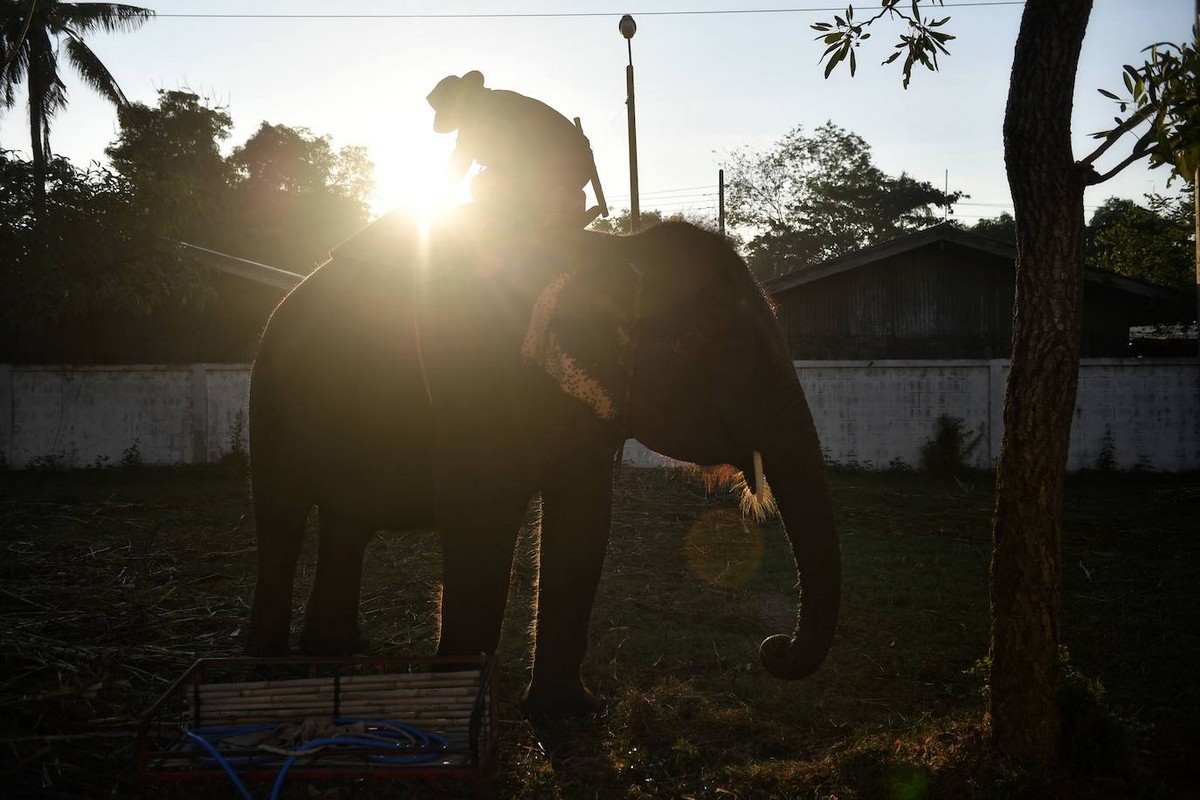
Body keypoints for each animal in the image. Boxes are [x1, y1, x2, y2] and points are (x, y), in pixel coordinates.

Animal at [246, 205, 844, 714]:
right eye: (694, 343)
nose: (772, 648)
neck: (613, 254)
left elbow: (584, 522)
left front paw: (568, 714)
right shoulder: (474, 384)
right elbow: (482, 523)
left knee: (347, 523)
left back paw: (334, 651)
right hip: (272, 403)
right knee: (282, 522)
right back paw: (269, 675)